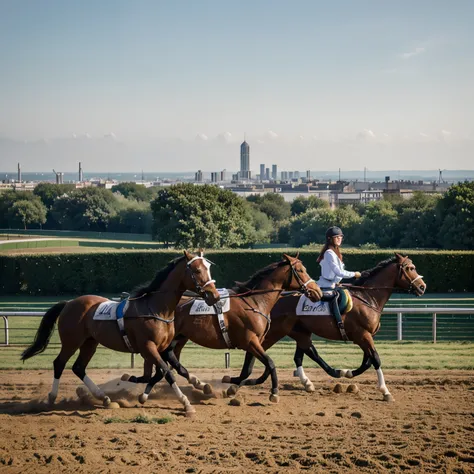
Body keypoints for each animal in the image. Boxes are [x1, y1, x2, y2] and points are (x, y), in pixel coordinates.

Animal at [21, 250, 221, 416]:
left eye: (209, 268)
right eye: (197, 270)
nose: (215, 296)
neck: (156, 308)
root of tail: (69, 303)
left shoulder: (161, 348)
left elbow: (165, 371)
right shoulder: (148, 347)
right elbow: (166, 372)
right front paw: (186, 403)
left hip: (90, 342)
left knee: (78, 367)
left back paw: (104, 397)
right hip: (72, 341)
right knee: (59, 363)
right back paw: (52, 397)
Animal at [123, 254, 322, 402]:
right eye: (301, 270)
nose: (317, 291)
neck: (254, 302)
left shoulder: (255, 341)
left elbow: (249, 369)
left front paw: (233, 385)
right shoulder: (250, 341)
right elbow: (270, 363)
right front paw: (274, 392)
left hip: (179, 337)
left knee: (169, 358)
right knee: (166, 360)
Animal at [210, 254, 426, 402]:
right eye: (410, 268)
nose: (422, 286)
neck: (368, 298)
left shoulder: (364, 337)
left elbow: (367, 361)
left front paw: (347, 373)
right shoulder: (363, 335)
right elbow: (375, 359)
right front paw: (385, 391)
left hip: (299, 332)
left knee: (302, 354)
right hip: (276, 332)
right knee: (262, 352)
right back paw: (241, 381)